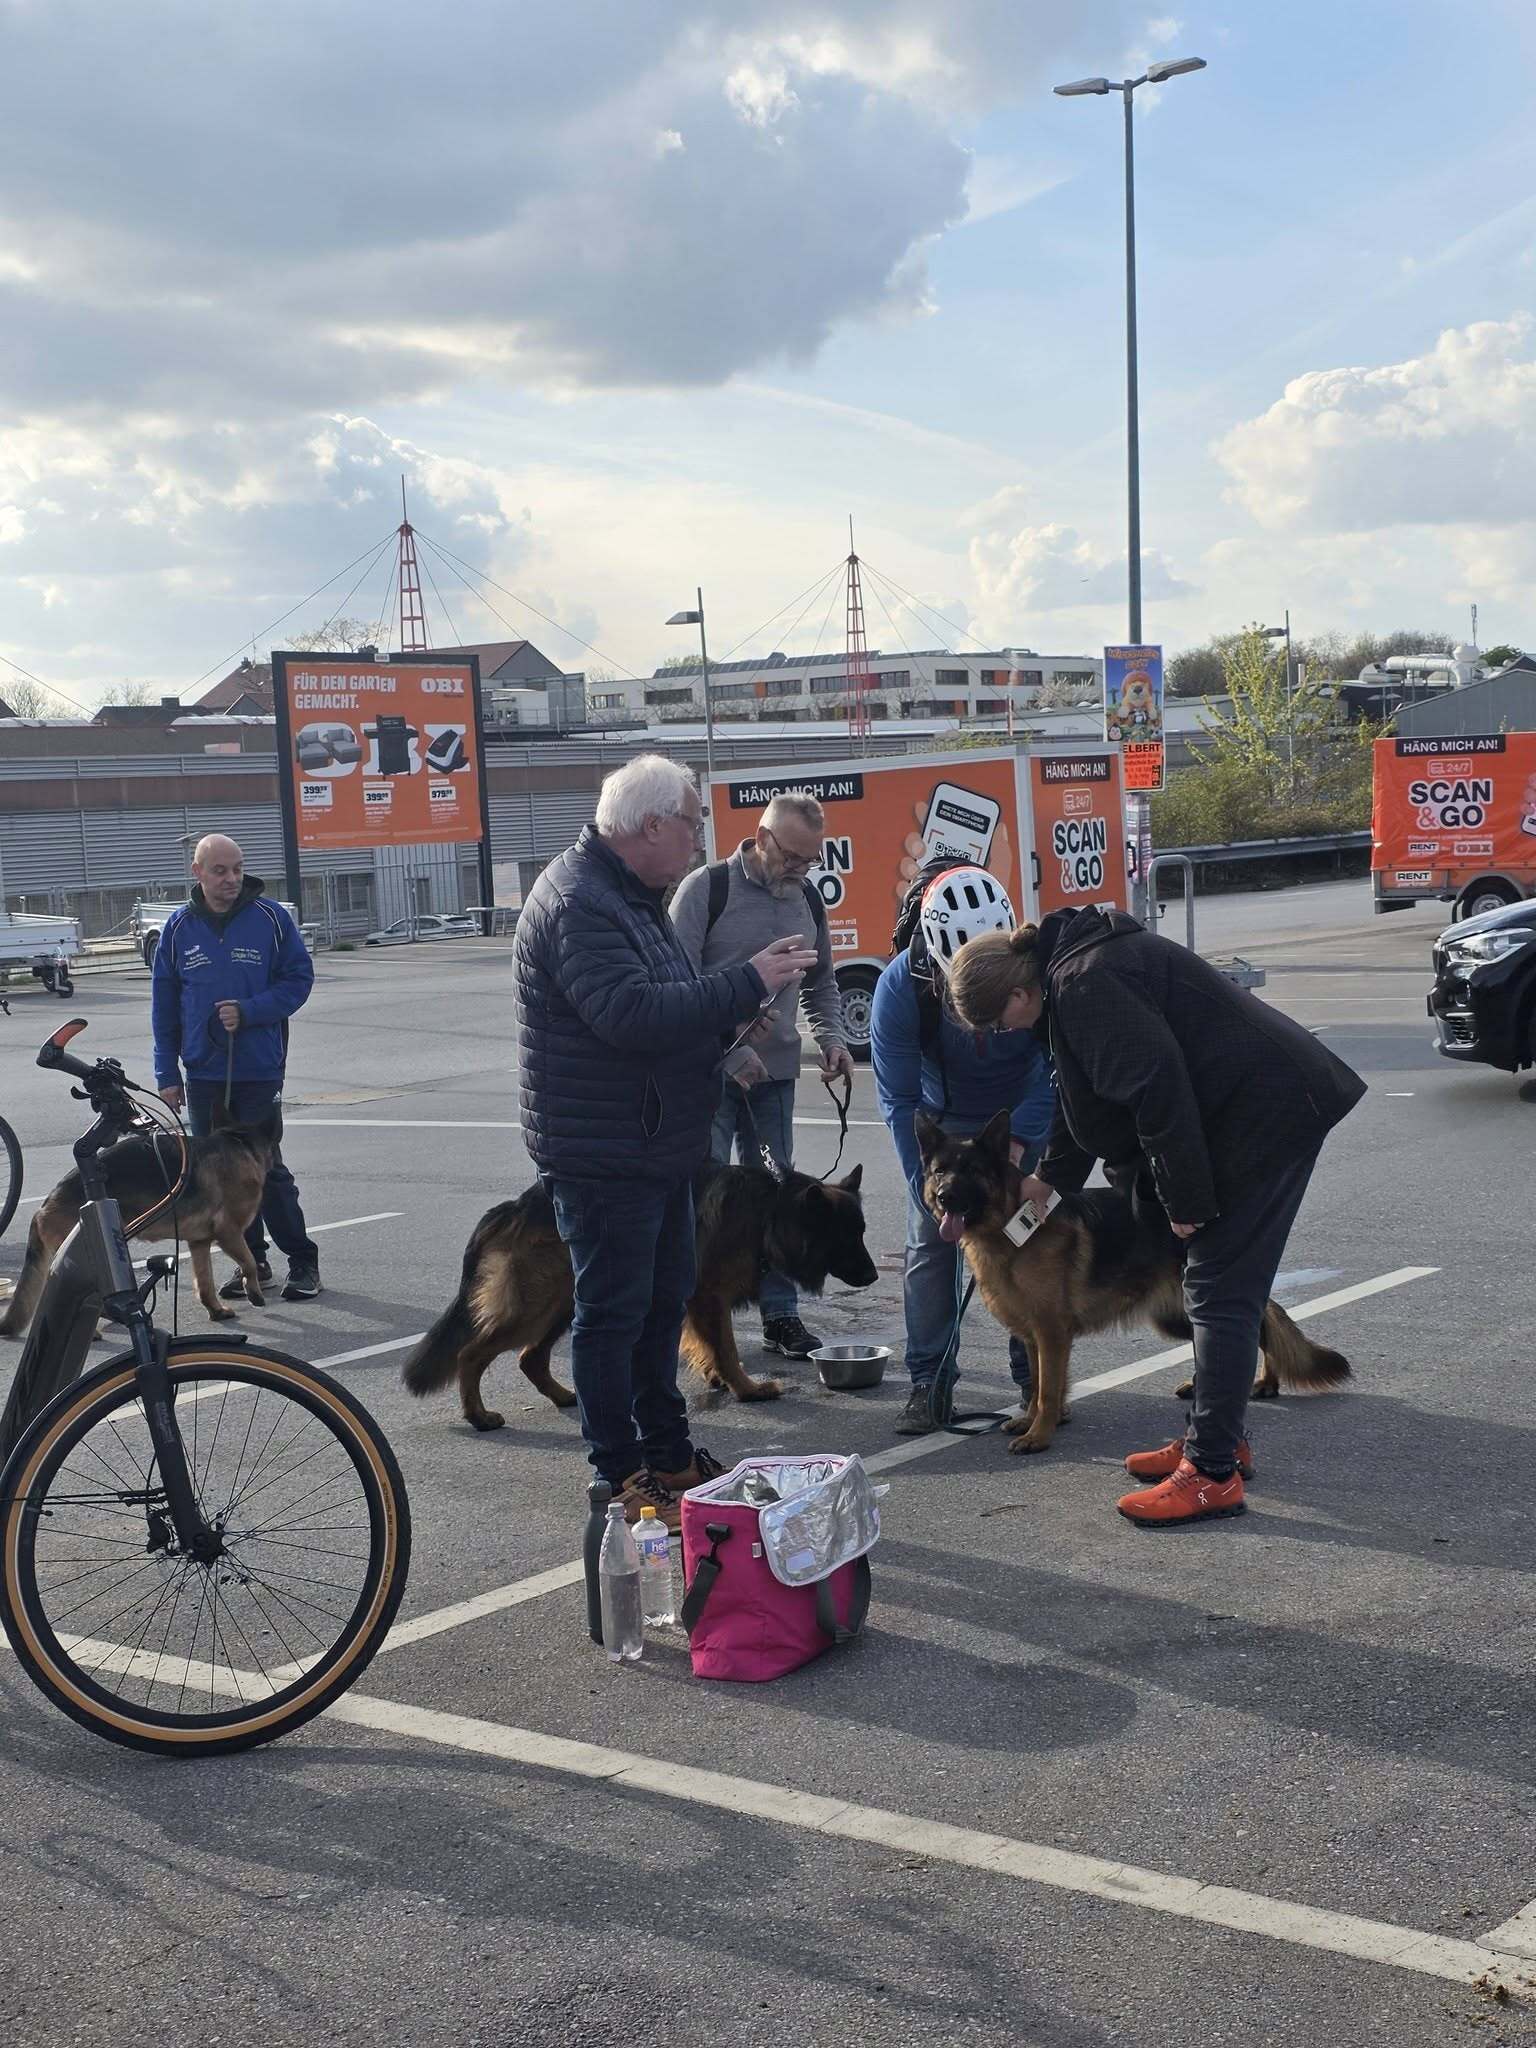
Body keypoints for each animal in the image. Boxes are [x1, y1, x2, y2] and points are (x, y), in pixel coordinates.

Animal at [0, 1111, 280, 1335]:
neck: (240, 1143)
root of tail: (44, 1205)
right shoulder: (230, 1233)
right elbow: (250, 1262)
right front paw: (254, 1293)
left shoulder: (199, 1243)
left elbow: (205, 1283)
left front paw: (216, 1310)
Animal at [403, 1160, 878, 1429]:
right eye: (847, 1237)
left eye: (862, 1232)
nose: (874, 1275)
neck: (770, 1211)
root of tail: (513, 1207)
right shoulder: (708, 1296)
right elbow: (726, 1348)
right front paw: (746, 1388)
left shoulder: (693, 1302)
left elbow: (706, 1345)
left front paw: (716, 1377)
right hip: (540, 1305)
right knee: (471, 1354)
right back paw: (478, 1416)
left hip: (569, 1303)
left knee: (530, 1357)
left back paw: (564, 1396)